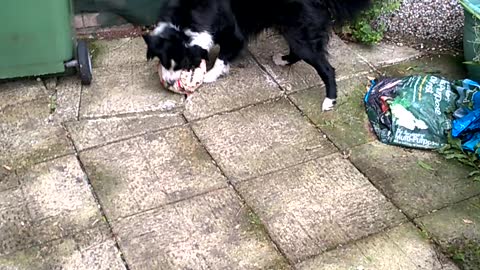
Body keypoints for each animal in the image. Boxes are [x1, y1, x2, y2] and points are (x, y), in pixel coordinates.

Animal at [142, 0, 372, 110]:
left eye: (183, 63)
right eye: (164, 62)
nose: (169, 84)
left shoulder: (233, 33)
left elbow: (224, 55)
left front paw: (209, 75)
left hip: (299, 28)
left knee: (325, 67)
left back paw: (329, 101)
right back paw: (282, 60)